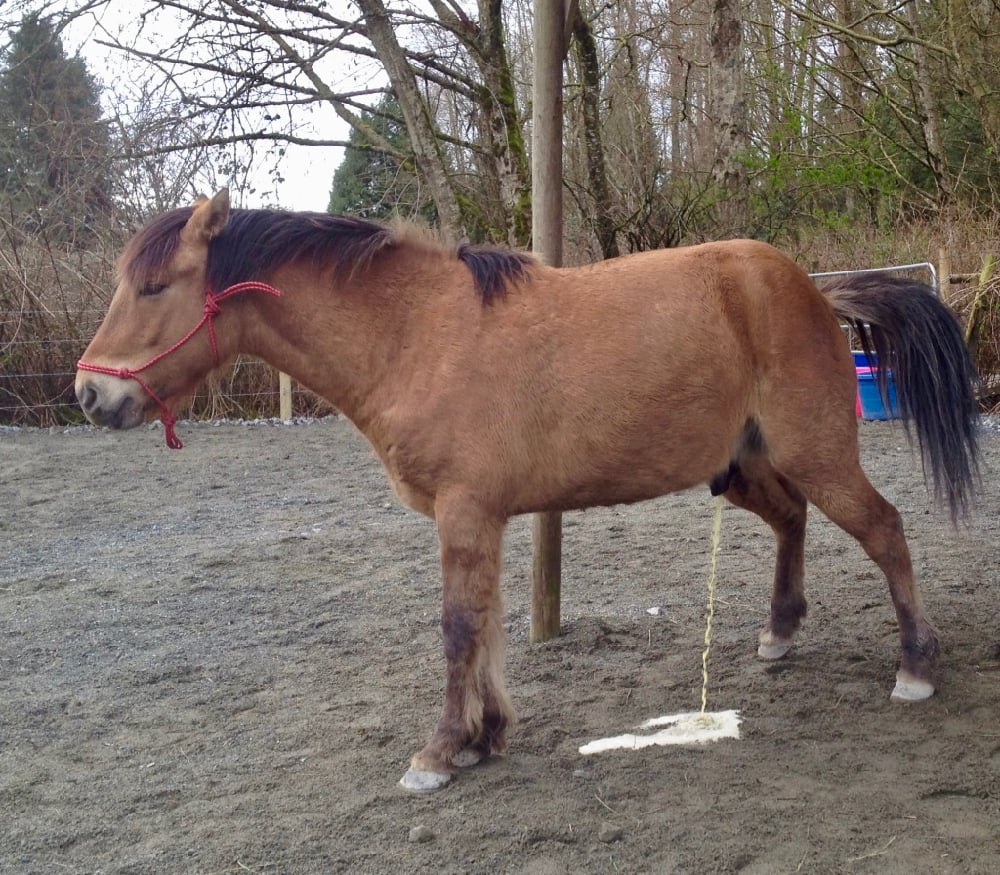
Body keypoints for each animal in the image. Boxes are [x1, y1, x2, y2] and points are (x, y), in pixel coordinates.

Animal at [76, 192, 976, 792]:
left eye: (155, 287)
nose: (90, 394)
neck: (414, 334)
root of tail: (811, 287)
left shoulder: (465, 512)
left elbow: (457, 627)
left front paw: (440, 751)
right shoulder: (483, 518)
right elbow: (486, 625)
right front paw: (487, 735)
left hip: (817, 451)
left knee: (885, 528)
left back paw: (916, 666)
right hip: (743, 465)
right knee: (793, 518)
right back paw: (779, 632)